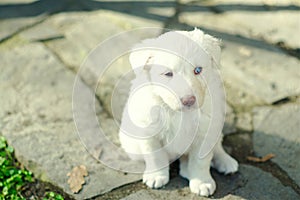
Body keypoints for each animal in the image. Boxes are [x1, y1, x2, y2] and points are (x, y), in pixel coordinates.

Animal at [118, 28, 238, 197]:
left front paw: (201, 181)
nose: (188, 100)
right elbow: (155, 156)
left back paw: (225, 161)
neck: (176, 112)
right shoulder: (149, 132)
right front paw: (157, 176)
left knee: (217, 146)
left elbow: (201, 161)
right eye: (168, 74)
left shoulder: (206, 131)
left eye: (198, 70)